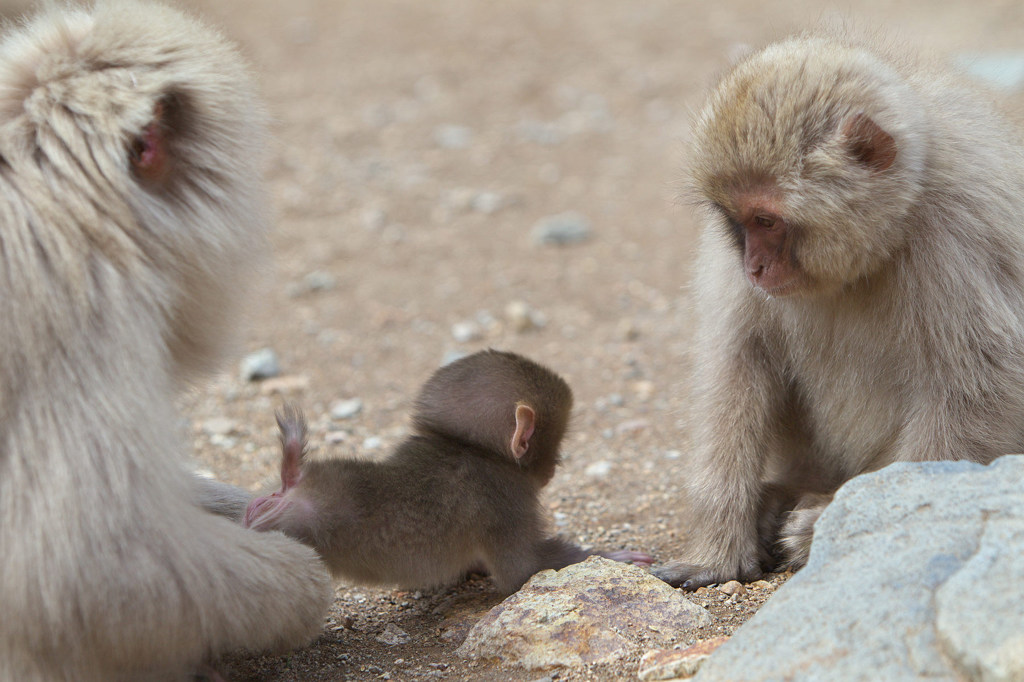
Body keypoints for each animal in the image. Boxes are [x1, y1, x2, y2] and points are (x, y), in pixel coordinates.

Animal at [243, 348, 651, 593]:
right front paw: (612, 556)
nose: (554, 467)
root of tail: (297, 486)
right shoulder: (505, 501)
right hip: (306, 521)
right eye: (556, 445)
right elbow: (523, 569)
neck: (468, 448)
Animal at [659, 31, 1024, 585]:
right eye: (736, 220)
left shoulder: (956, 236)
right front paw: (717, 550)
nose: (754, 266)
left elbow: (979, 387)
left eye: (766, 221)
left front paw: (830, 529)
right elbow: (737, 363)